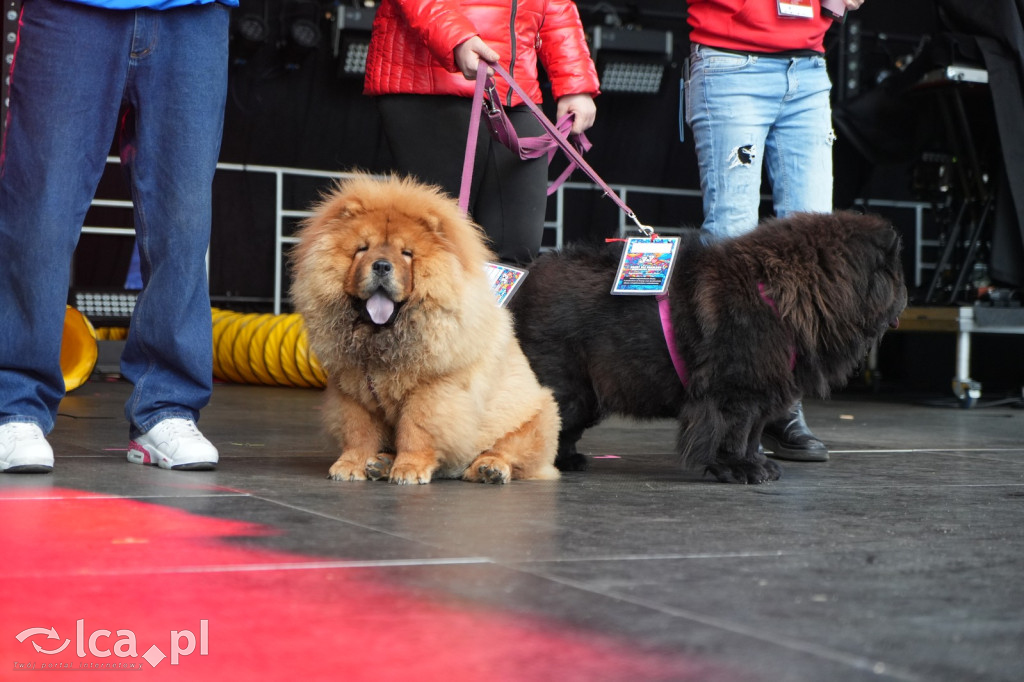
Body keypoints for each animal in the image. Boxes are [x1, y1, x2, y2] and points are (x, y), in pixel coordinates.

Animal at [509, 209, 905, 481]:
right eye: (897, 277)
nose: (906, 295)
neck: (780, 294)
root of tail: (527, 276)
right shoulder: (735, 391)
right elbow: (732, 432)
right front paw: (740, 469)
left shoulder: (762, 390)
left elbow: (752, 432)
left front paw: (758, 463)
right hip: (570, 387)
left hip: (588, 396)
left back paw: (567, 461)